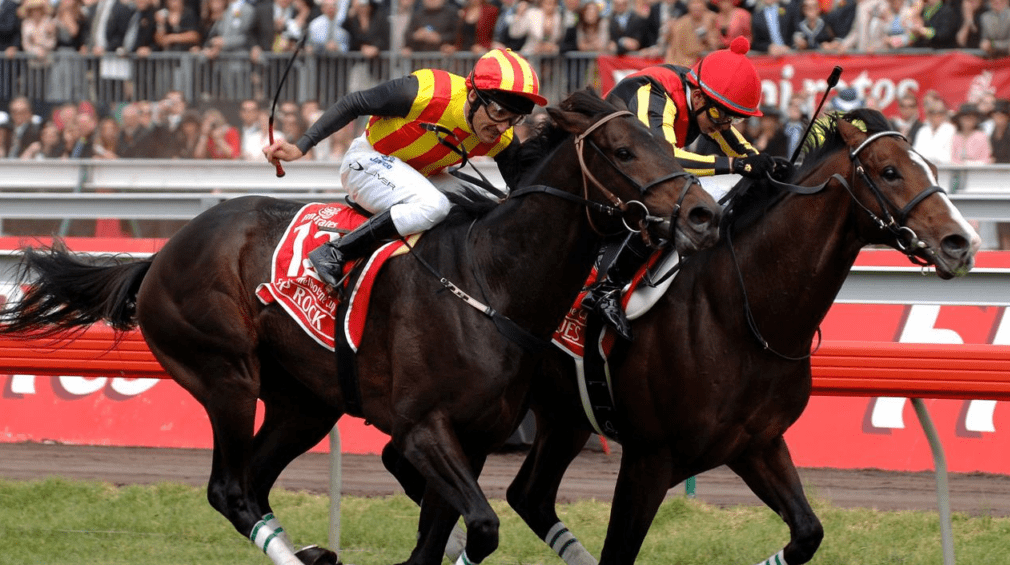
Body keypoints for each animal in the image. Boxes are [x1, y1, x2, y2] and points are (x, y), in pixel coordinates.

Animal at [0, 90, 720, 565]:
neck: (491, 281)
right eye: (624, 149)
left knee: (252, 484)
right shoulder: (423, 428)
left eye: (668, 142)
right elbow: (480, 526)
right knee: (230, 489)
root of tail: (161, 253)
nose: (704, 215)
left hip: (304, 403)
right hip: (226, 376)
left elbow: (447, 533)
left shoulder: (474, 439)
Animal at [379, 109, 981, 565]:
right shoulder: (649, 458)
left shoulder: (757, 444)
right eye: (889, 171)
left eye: (928, 165)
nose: (962, 241)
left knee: (522, 493)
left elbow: (807, 533)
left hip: (563, 414)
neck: (740, 311)